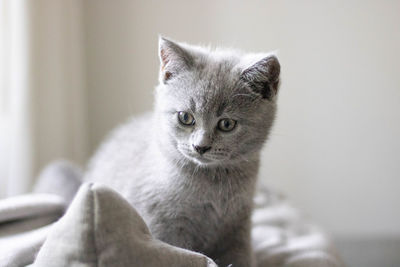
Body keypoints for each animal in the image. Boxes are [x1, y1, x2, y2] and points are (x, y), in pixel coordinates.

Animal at [85, 38, 278, 267]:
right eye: (185, 117)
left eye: (227, 124)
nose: (201, 146)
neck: (213, 185)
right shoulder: (164, 226)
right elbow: (184, 254)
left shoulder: (239, 226)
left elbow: (240, 256)